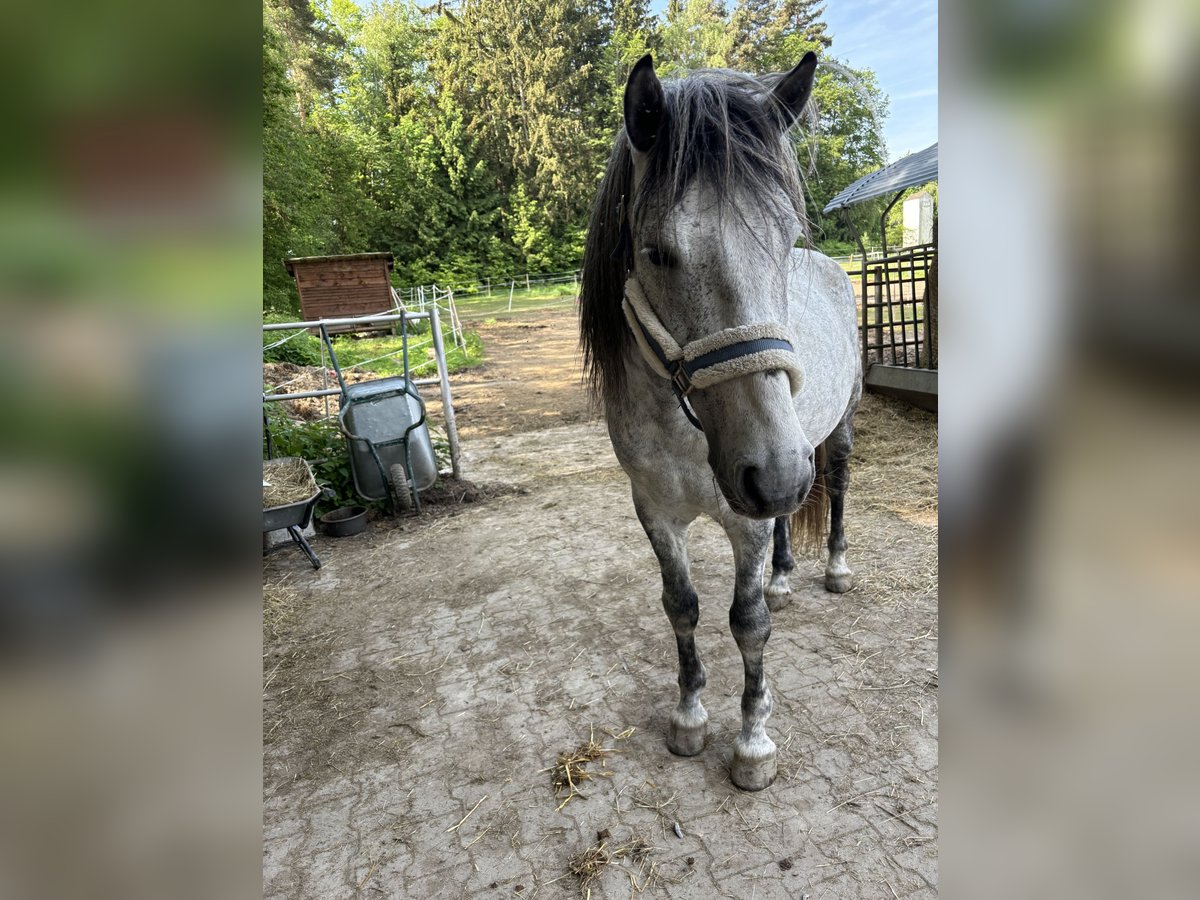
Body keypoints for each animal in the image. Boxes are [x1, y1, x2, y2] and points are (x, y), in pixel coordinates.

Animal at [576, 52, 859, 792]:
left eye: (784, 241)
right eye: (656, 252)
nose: (775, 473)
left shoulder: (746, 517)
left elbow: (747, 623)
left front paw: (753, 741)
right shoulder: (656, 510)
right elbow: (683, 607)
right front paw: (689, 715)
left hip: (833, 435)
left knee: (836, 488)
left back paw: (836, 568)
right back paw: (786, 576)